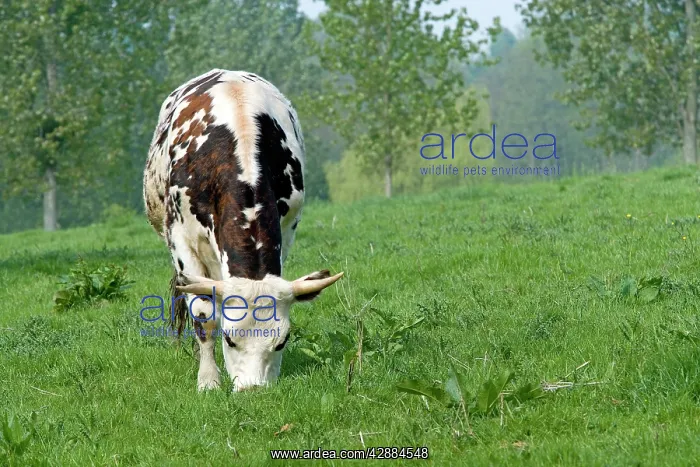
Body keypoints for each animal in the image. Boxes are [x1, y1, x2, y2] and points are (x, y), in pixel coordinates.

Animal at [143, 69, 343, 392]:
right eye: (229, 339)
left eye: (282, 341)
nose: (253, 390)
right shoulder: (181, 240)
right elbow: (204, 315)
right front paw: (208, 381)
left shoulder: (287, 230)